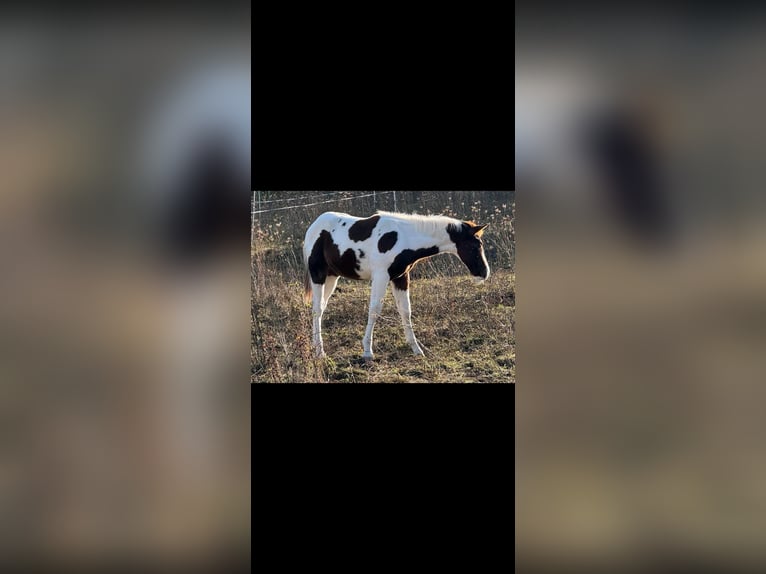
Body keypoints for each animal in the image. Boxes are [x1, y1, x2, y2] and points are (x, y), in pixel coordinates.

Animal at [303, 210, 490, 360]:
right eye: (475, 245)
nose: (484, 272)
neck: (404, 237)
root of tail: (314, 226)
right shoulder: (381, 276)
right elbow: (374, 311)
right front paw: (367, 352)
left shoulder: (401, 278)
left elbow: (406, 311)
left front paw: (417, 349)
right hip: (318, 275)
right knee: (317, 309)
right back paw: (320, 352)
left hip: (332, 277)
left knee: (321, 308)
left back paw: (316, 346)